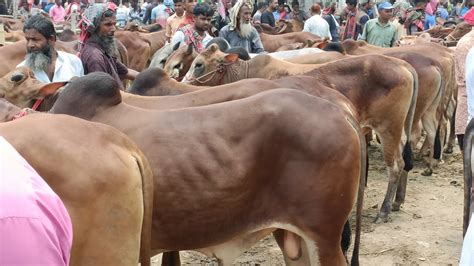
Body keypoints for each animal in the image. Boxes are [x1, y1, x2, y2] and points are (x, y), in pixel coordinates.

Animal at [185, 44, 418, 222]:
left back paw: (384, 210)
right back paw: (398, 201)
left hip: (388, 128)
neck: (245, 72)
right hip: (398, 129)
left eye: (198, 64)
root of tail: (404, 65)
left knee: (396, 165)